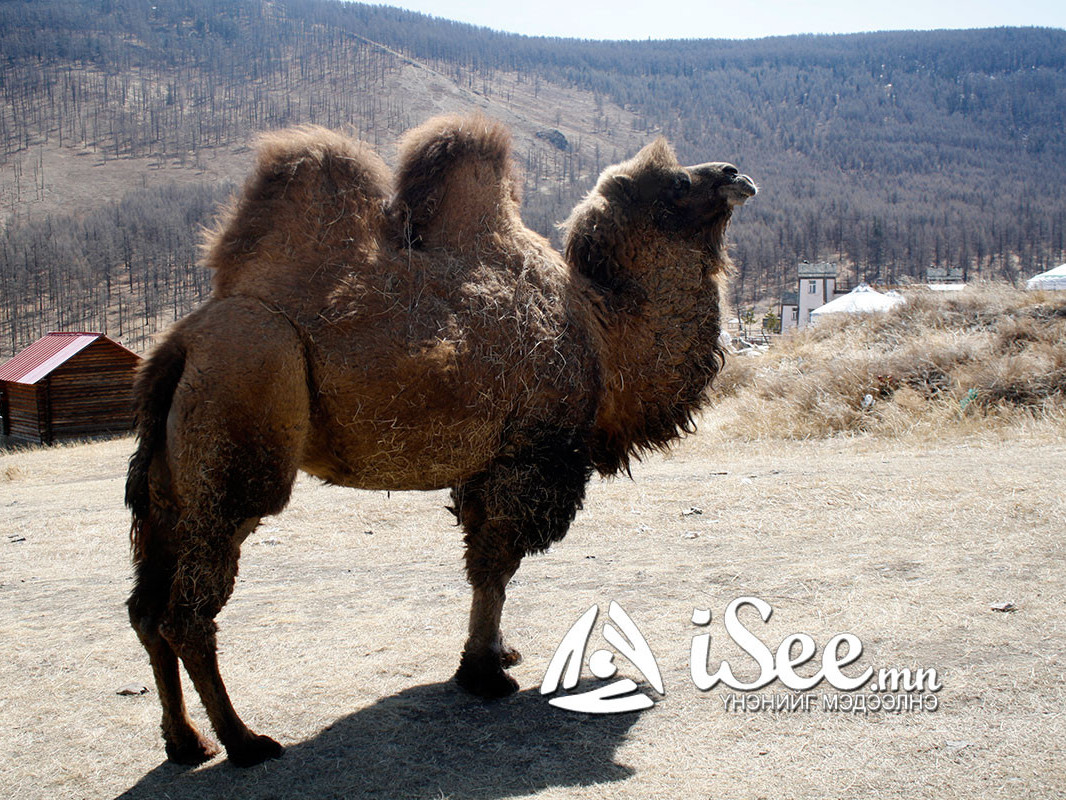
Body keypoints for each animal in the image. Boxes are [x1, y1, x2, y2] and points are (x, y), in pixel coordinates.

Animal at [124, 111, 758, 763]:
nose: (736, 173)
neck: (603, 331)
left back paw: (186, 742)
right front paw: (484, 674)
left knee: (146, 610)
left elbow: (485, 569)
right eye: (677, 184)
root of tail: (178, 345)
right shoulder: (528, 456)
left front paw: (498, 654)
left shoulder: (485, 466)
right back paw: (244, 740)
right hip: (243, 413)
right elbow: (495, 565)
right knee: (187, 612)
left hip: (170, 481)